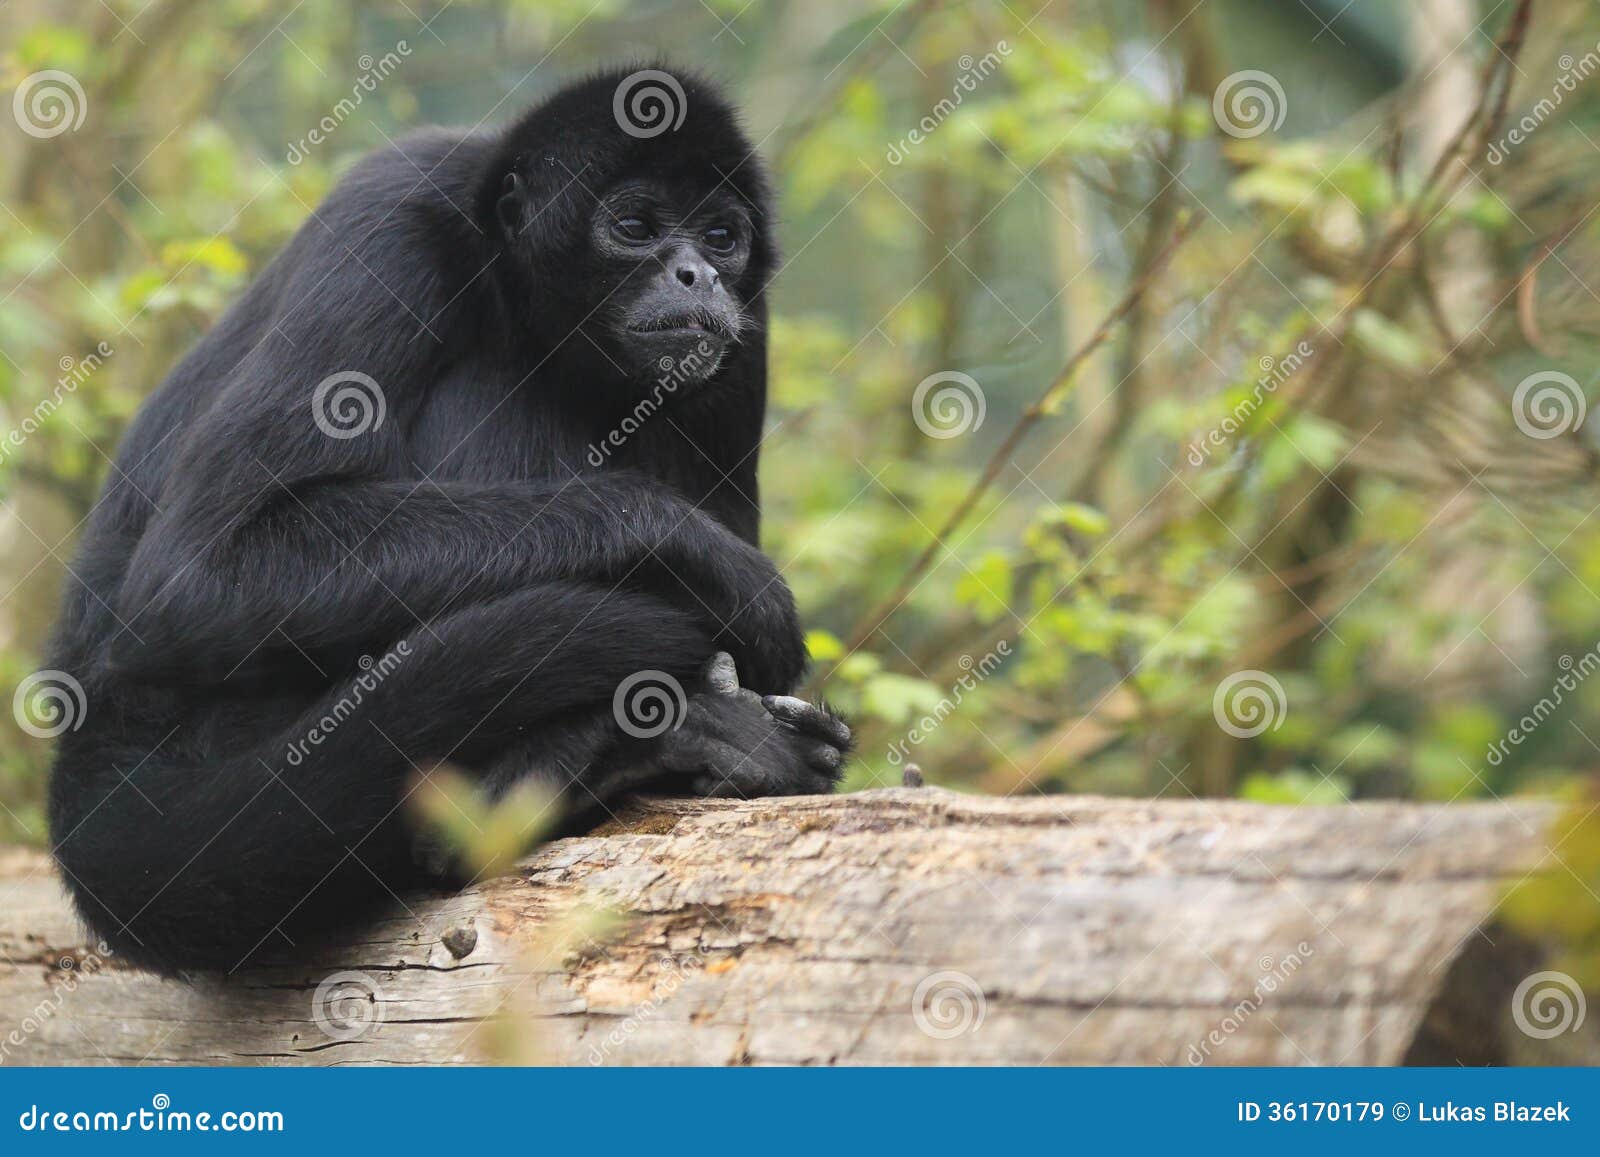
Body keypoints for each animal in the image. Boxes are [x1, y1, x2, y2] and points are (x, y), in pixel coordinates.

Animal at [40, 68, 851, 972]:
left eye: (719, 238)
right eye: (635, 227)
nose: (694, 276)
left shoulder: (746, 328)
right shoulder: (392, 220)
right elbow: (198, 572)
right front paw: (715, 566)